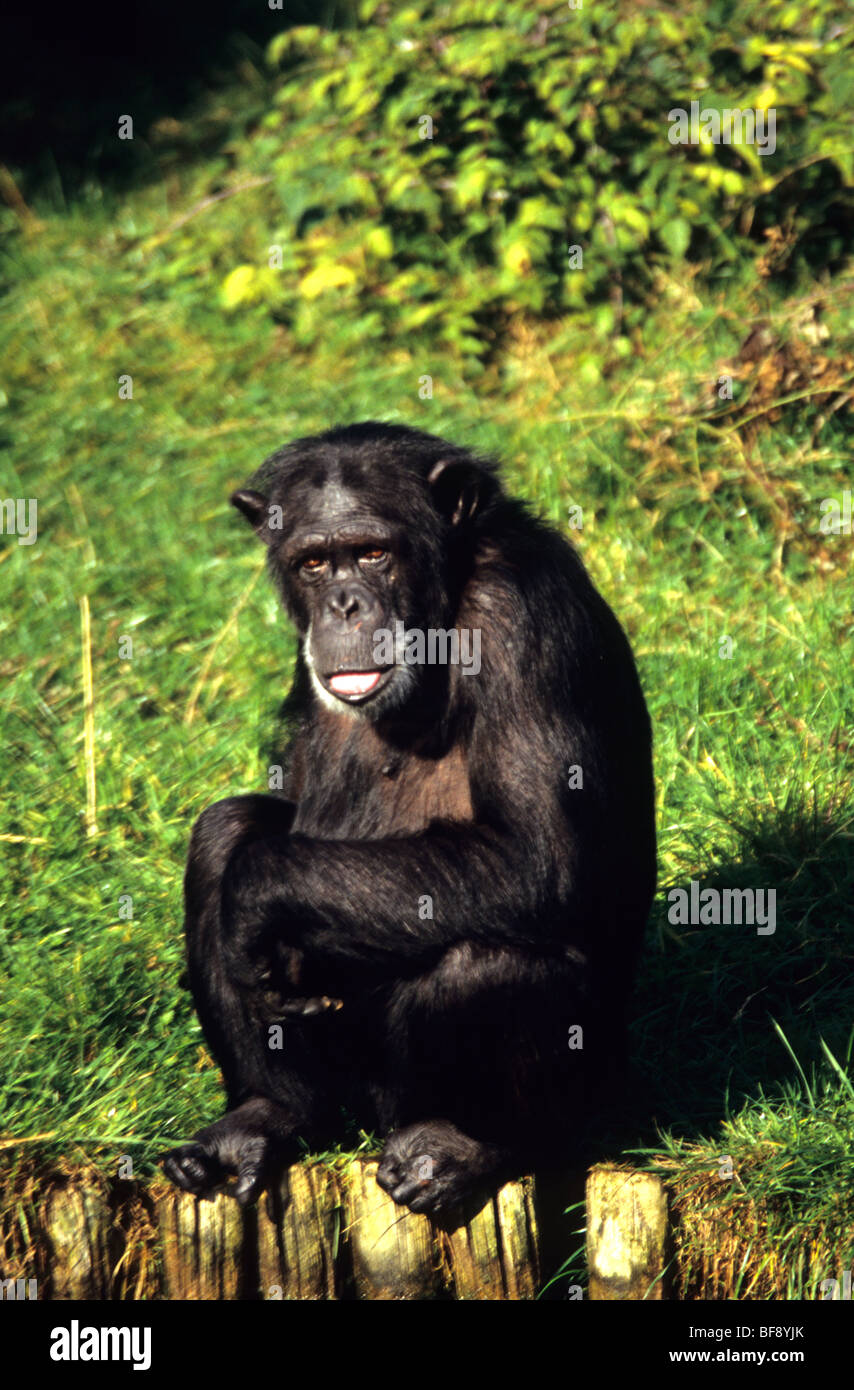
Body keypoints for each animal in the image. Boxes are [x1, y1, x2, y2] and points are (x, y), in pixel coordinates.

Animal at [162, 422, 656, 1217]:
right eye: (312, 562)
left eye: (372, 552)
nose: (342, 604)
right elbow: (282, 810)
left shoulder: (519, 614)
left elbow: (537, 854)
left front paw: (256, 894)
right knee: (221, 832)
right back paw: (262, 1117)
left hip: (566, 1104)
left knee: (490, 959)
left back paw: (462, 1145)